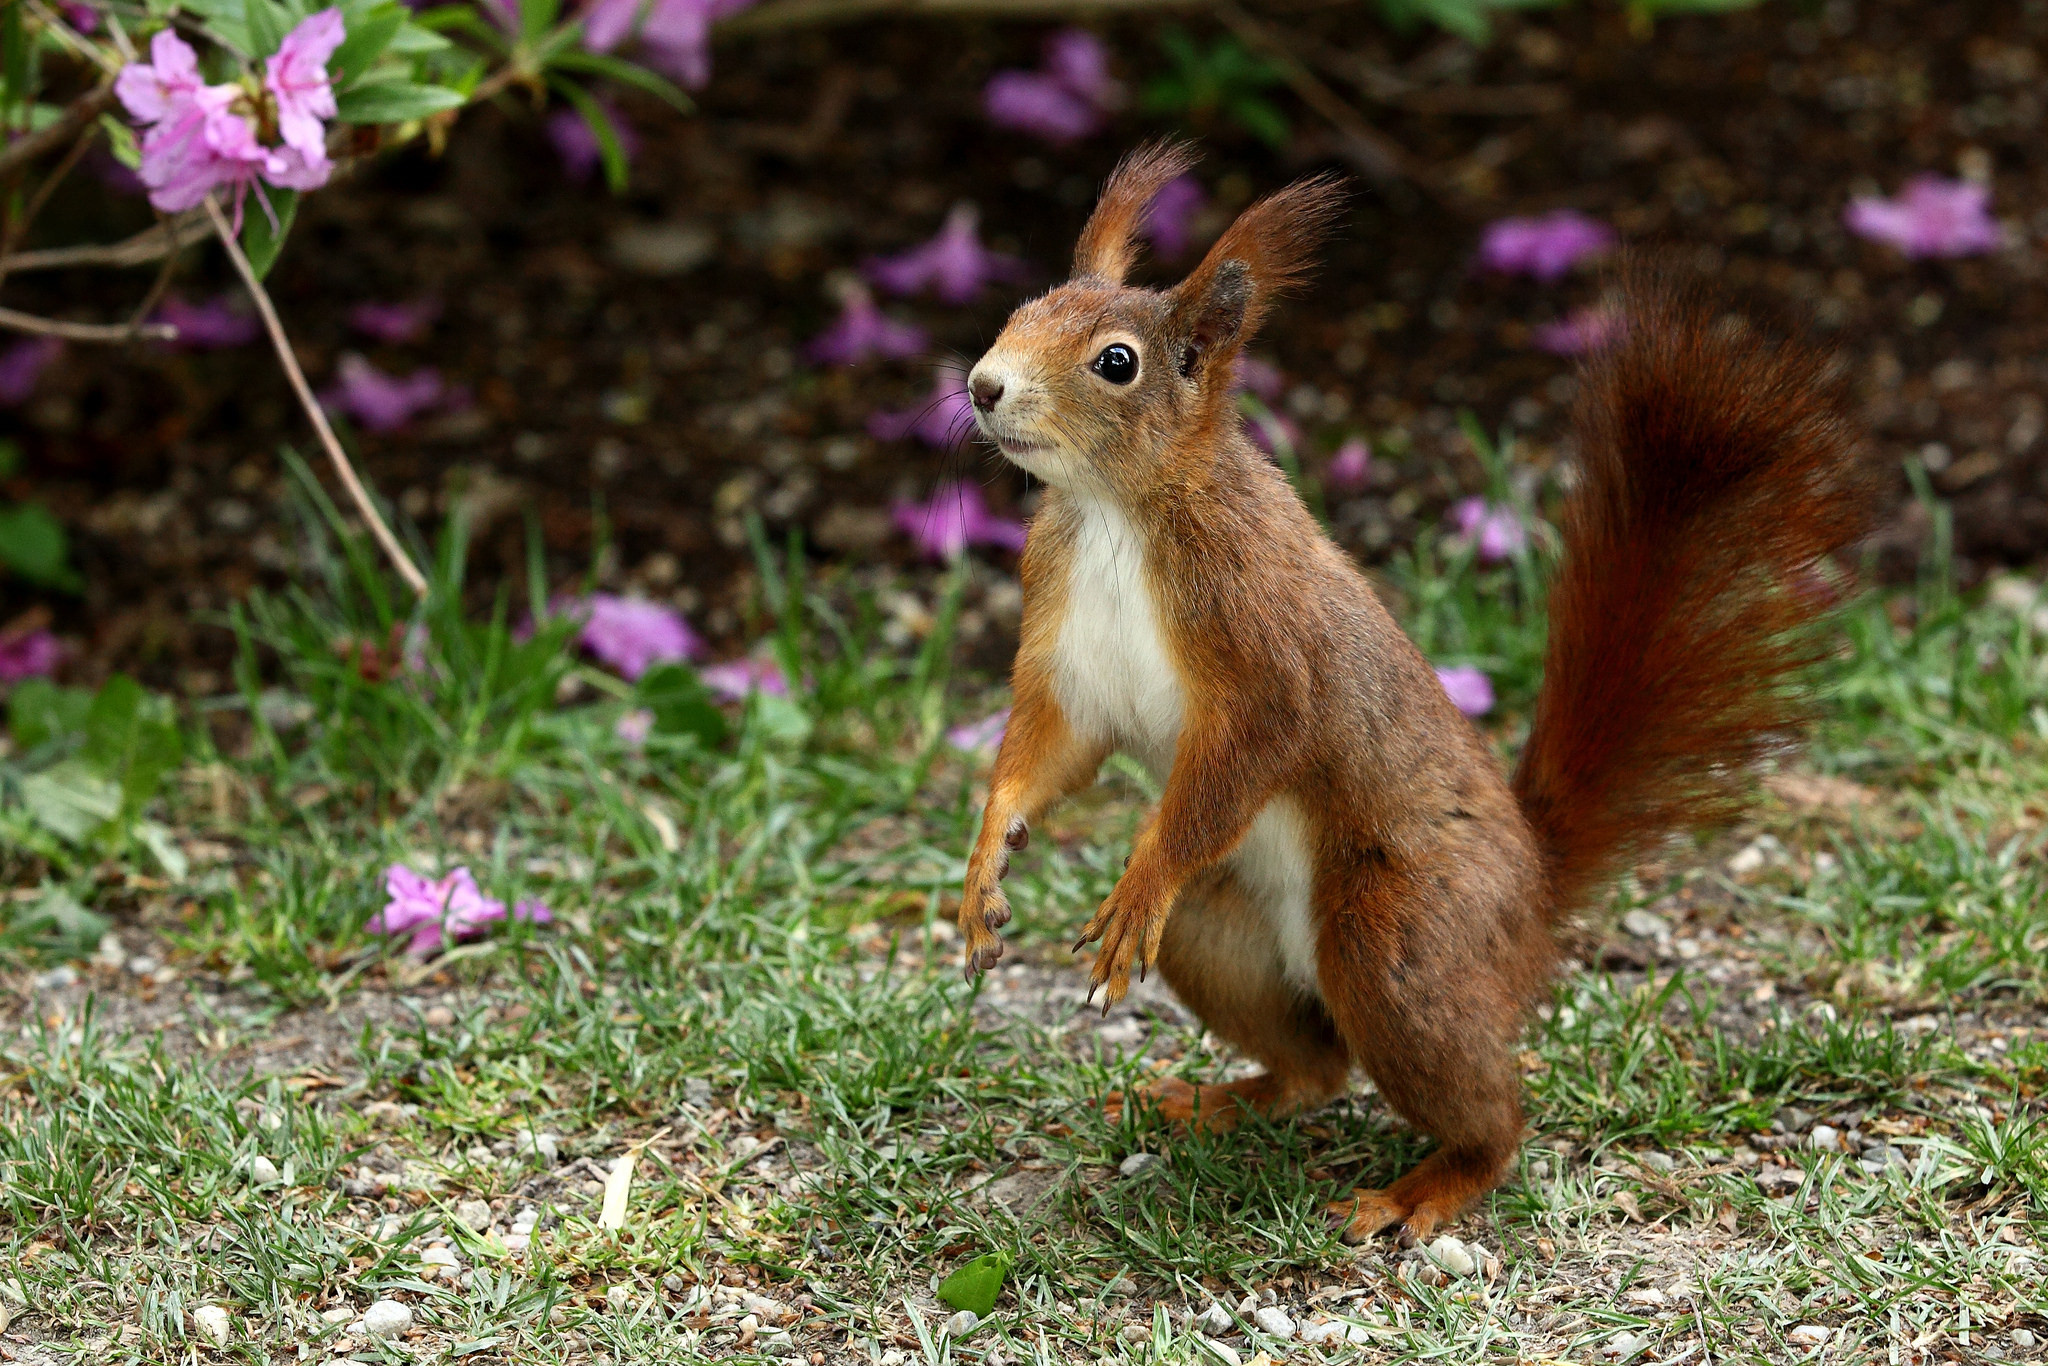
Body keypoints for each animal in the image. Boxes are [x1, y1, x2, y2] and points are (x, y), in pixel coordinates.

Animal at [954, 144, 1875, 1245]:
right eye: (1021, 308)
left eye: (1115, 363)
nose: (981, 385)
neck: (1113, 512)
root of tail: (1533, 891)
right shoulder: (1068, 650)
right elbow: (1044, 751)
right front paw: (983, 866)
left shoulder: (1261, 641)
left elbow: (1249, 749)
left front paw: (1138, 878)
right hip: (1220, 929)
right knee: (1314, 1067)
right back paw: (1212, 1100)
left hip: (1398, 938)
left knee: (1483, 1107)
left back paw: (1425, 1187)